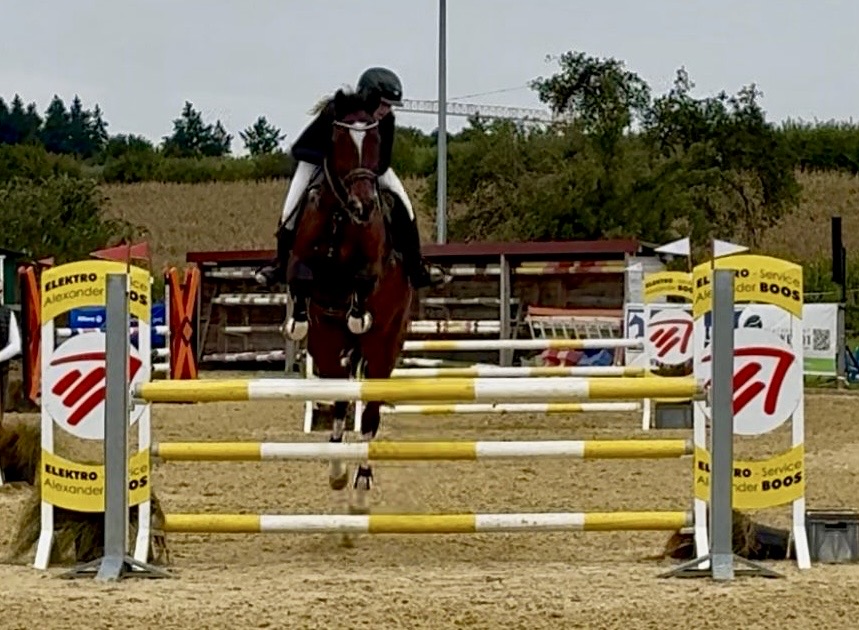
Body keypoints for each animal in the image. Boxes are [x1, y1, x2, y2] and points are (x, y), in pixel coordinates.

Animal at [282, 88, 414, 520]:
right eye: (338, 142)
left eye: (375, 143)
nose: (364, 207)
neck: (341, 216)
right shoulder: (300, 260)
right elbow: (302, 277)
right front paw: (297, 321)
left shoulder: (372, 266)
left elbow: (363, 279)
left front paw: (358, 312)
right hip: (328, 349)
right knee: (340, 397)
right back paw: (338, 470)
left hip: (384, 350)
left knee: (368, 413)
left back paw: (359, 488)